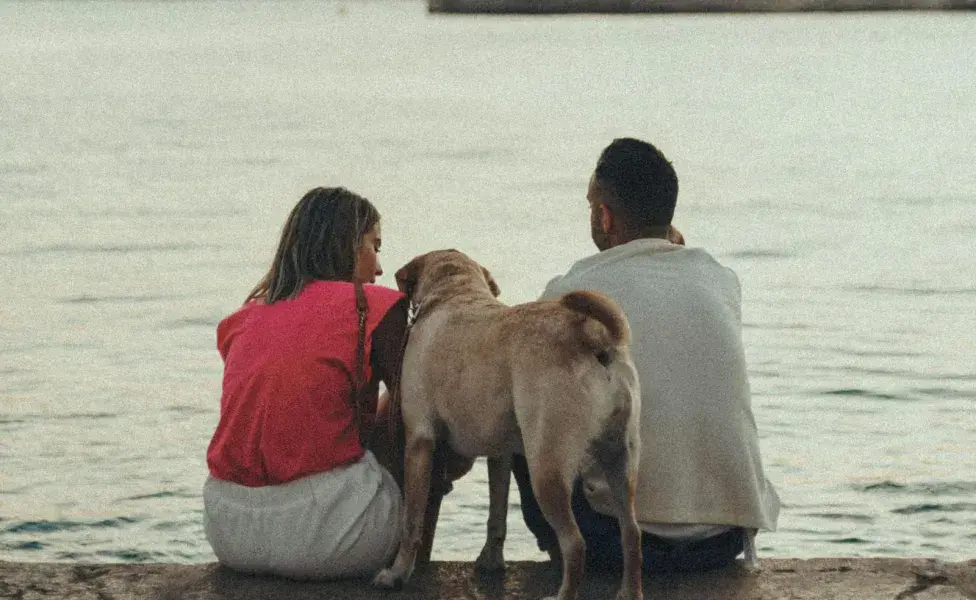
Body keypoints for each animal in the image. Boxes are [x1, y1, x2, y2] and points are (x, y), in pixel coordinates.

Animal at [372, 250, 640, 600]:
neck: (454, 292)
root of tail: (594, 338)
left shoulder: (419, 442)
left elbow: (412, 521)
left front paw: (398, 572)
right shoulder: (500, 453)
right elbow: (497, 512)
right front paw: (491, 560)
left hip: (547, 469)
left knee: (575, 544)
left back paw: (561, 594)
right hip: (621, 460)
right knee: (631, 532)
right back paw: (629, 591)